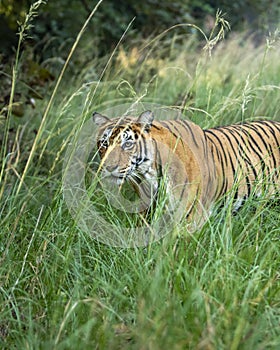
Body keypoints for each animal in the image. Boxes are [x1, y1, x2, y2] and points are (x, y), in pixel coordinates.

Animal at [92, 110, 280, 230]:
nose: (109, 167)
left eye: (128, 144)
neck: (148, 176)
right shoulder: (147, 212)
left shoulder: (192, 216)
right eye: (104, 143)